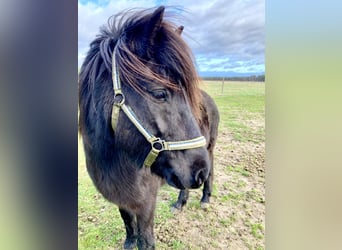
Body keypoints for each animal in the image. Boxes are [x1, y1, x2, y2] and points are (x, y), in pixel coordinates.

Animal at [79, 6, 219, 250]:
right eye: (160, 93)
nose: (199, 171)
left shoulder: (146, 204)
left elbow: (146, 239)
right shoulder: (122, 198)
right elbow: (127, 220)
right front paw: (129, 241)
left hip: (208, 151)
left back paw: (204, 199)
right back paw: (181, 202)